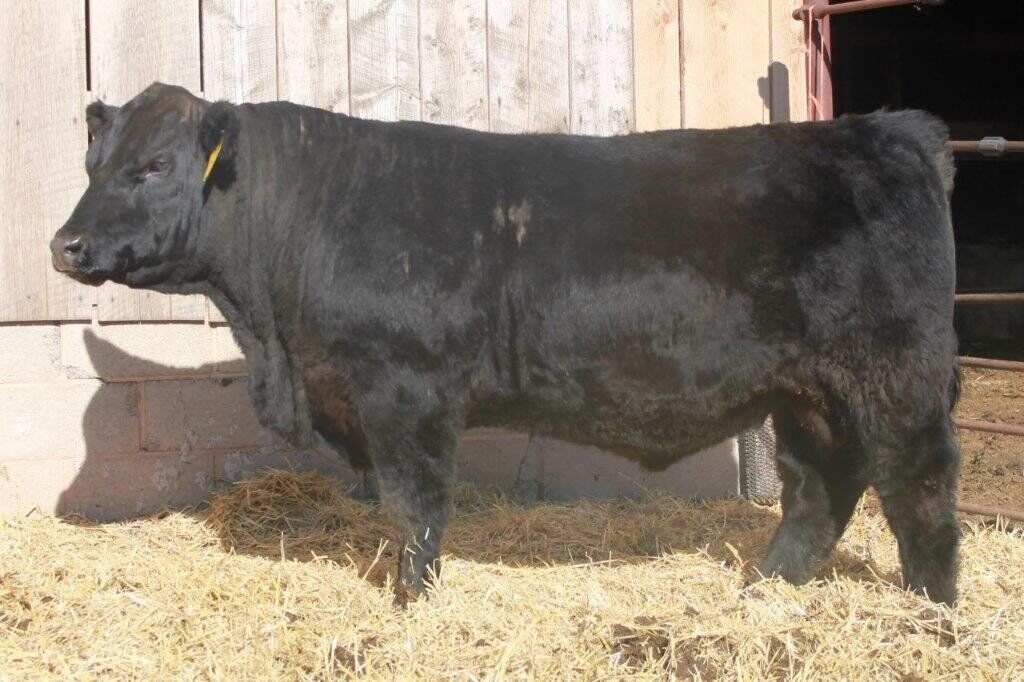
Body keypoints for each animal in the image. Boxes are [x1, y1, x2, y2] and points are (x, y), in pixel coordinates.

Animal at [51, 83, 961, 604]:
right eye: (93, 162)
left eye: (156, 166)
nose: (66, 246)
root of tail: (890, 131)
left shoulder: (404, 389)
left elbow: (412, 506)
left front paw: (411, 603)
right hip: (808, 393)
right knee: (819, 489)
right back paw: (766, 591)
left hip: (895, 374)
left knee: (918, 485)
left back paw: (932, 607)